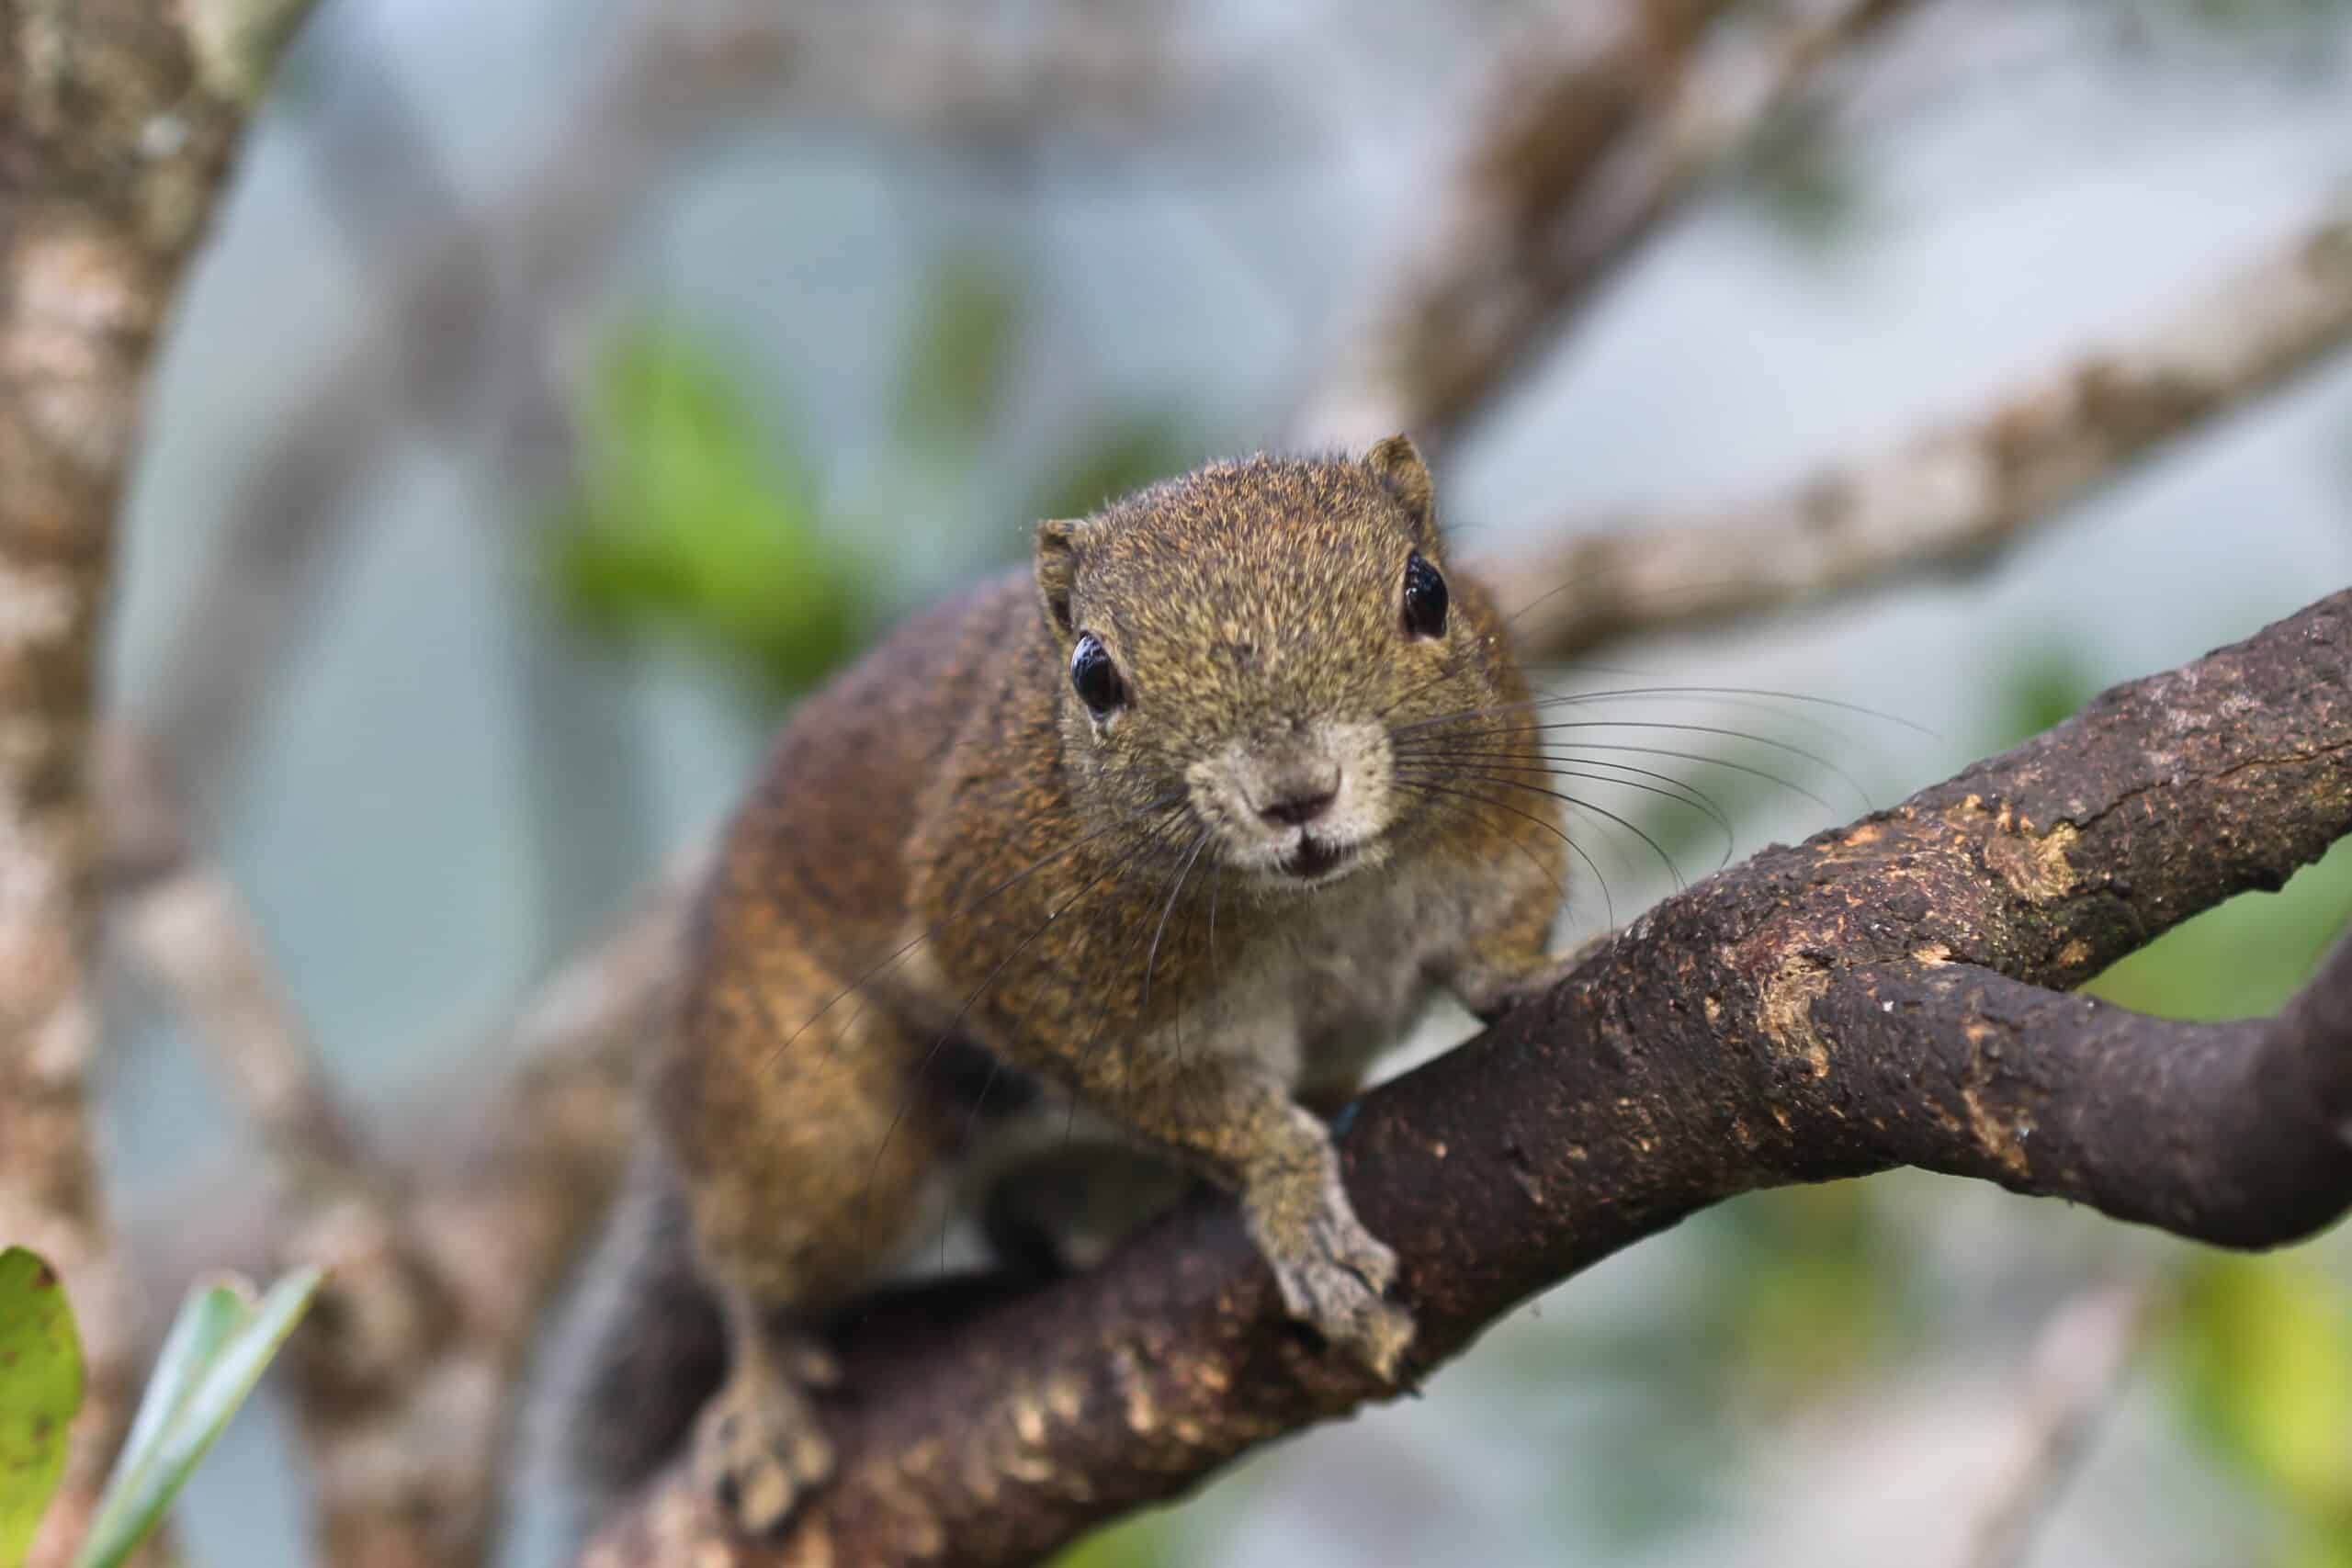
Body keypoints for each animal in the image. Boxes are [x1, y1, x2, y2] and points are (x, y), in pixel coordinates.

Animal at [537, 436, 1577, 1543]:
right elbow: (1202, 1107)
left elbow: (1494, 946)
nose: (1296, 793)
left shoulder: (1497, 816)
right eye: (1092, 673)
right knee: (751, 1269)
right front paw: (1298, 1206)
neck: (1321, 902)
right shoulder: (1018, 950)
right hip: (811, 1126)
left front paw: (1538, 974)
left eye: (1428, 592)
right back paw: (765, 1396)